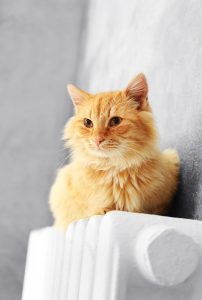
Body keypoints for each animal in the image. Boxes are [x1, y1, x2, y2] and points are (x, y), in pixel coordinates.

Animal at [49, 72, 180, 227]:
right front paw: (103, 210)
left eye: (115, 121)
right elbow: (92, 210)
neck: (115, 169)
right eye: (88, 123)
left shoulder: (160, 205)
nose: (97, 140)